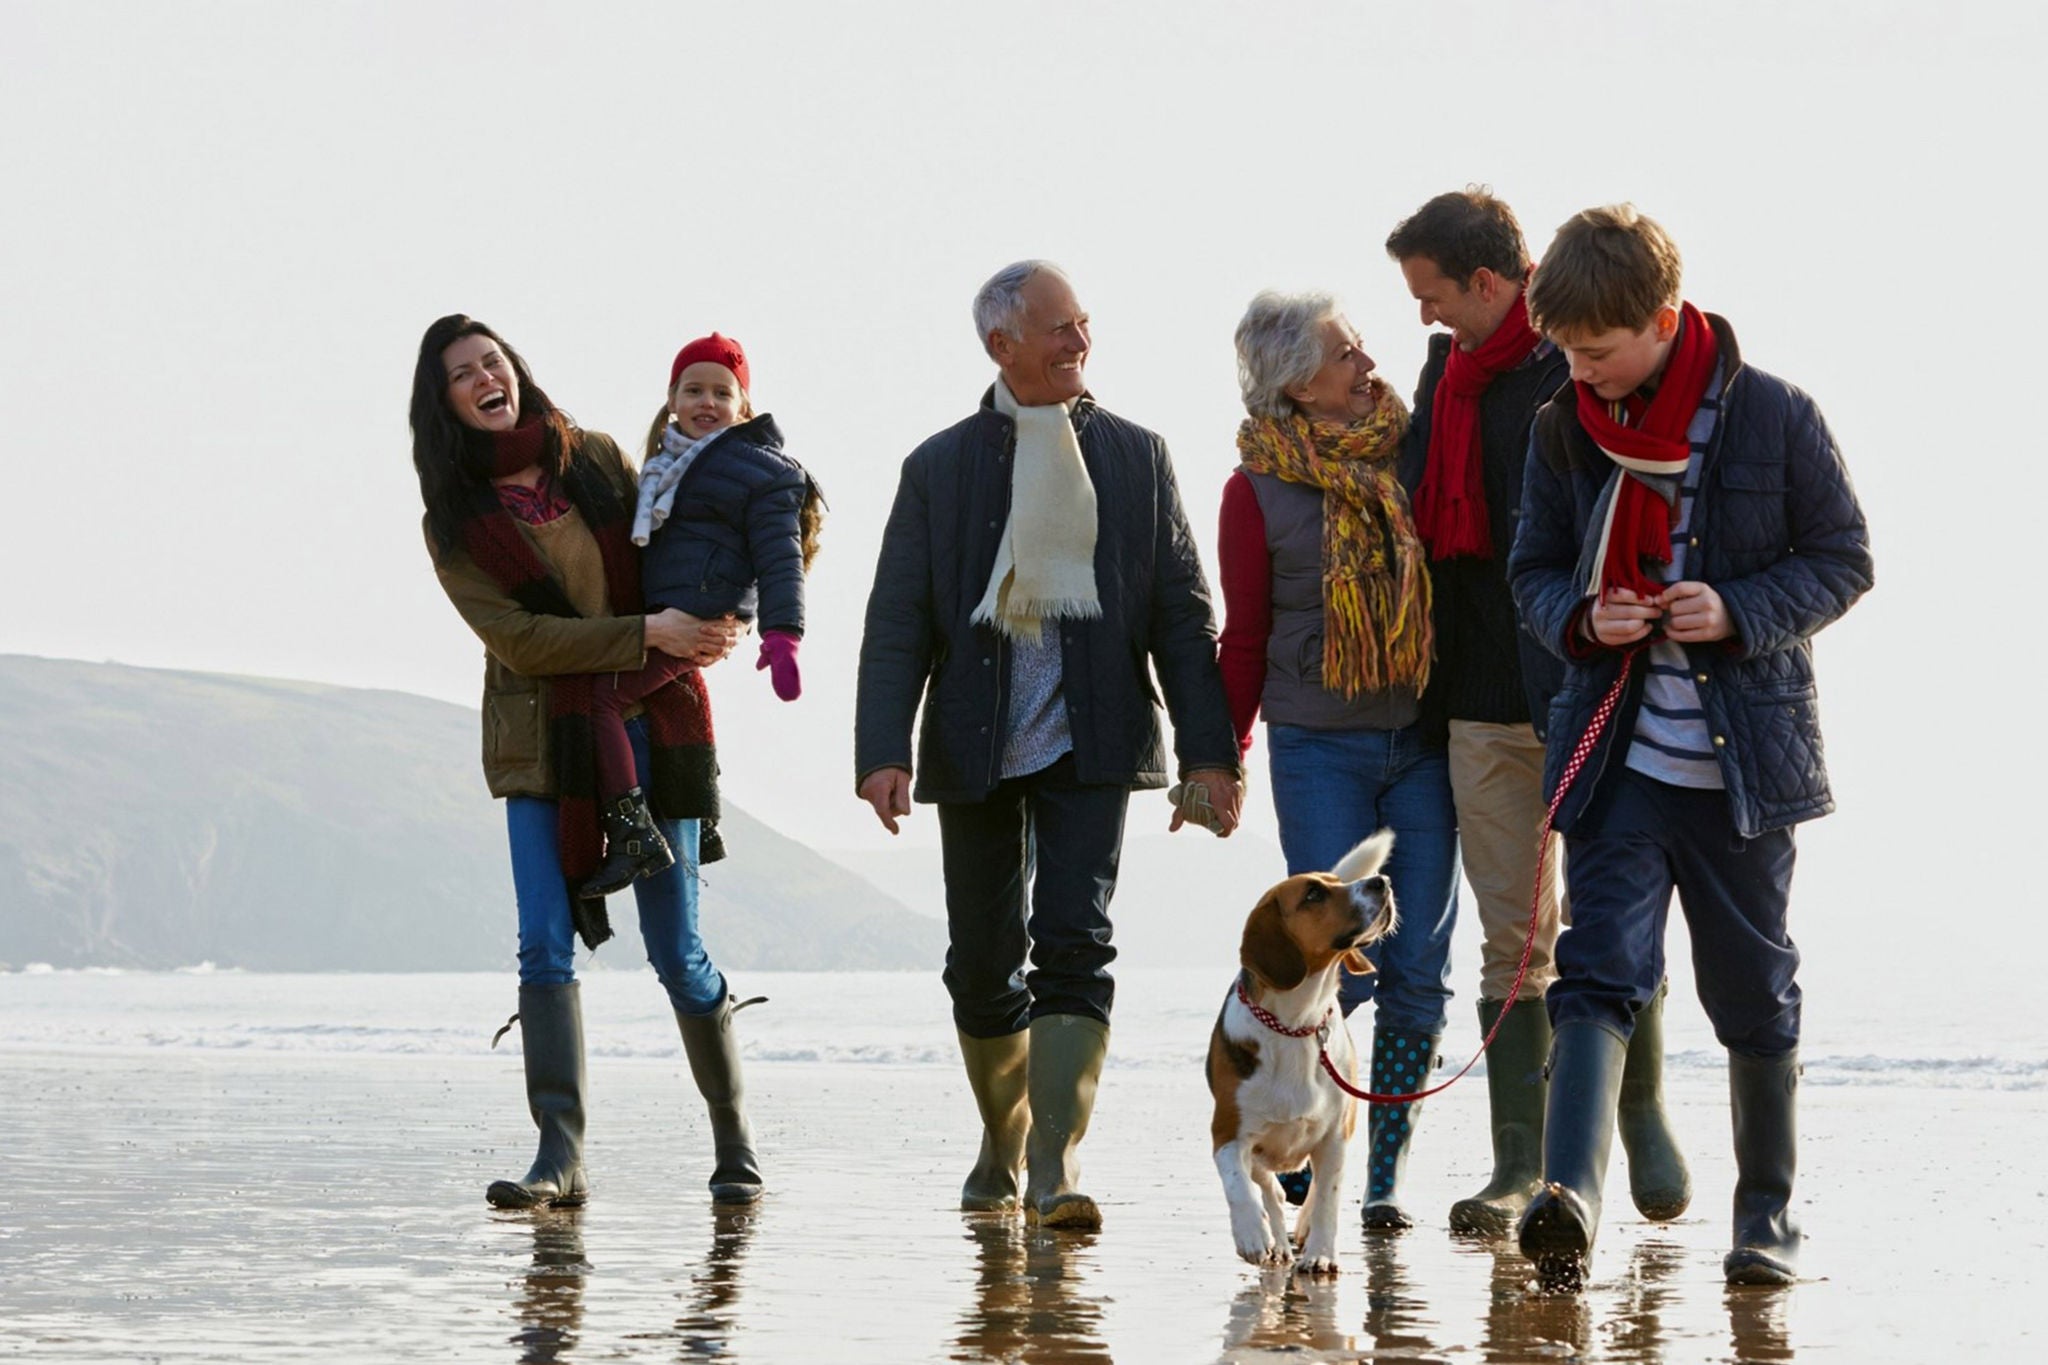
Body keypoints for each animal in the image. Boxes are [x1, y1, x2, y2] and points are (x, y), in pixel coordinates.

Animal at [1204, 826, 1400, 1277]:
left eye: (1335, 883)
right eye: (1313, 894)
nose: (1382, 882)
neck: (1296, 1023)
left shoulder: (1333, 1137)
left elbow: (1326, 1196)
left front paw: (1321, 1253)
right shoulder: (1227, 1133)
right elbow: (1239, 1187)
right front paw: (1252, 1235)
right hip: (1259, 1152)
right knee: (1270, 1191)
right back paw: (1275, 1241)